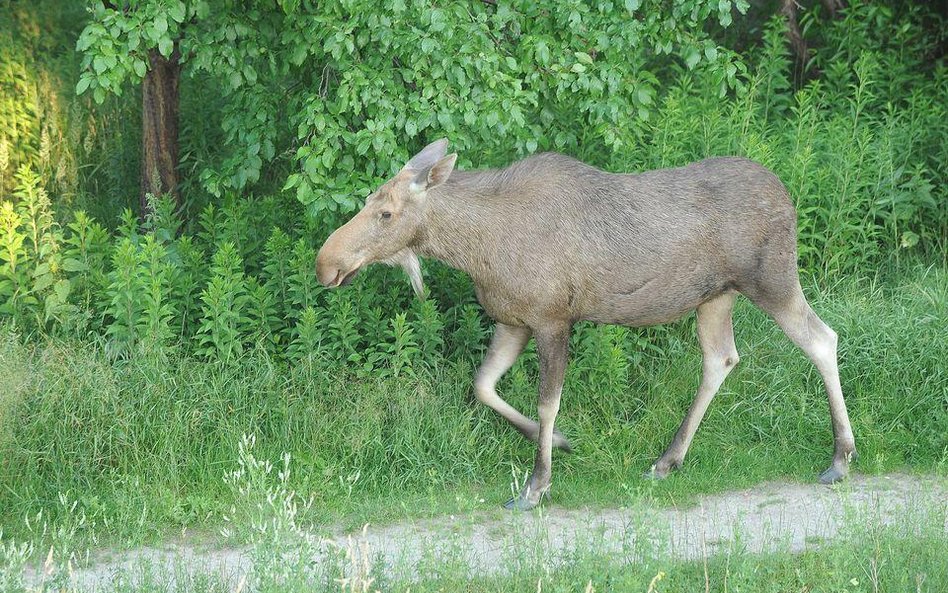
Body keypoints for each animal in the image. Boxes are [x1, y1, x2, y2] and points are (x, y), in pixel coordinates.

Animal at [318, 138, 860, 508]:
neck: (475, 251)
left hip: (770, 279)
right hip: (714, 296)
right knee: (721, 358)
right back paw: (667, 460)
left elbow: (547, 402)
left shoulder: (553, 319)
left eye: (386, 213)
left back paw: (839, 457)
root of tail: (787, 196)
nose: (326, 263)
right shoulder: (514, 320)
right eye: (368, 201)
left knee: (822, 339)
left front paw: (536, 485)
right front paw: (560, 443)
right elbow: (483, 386)